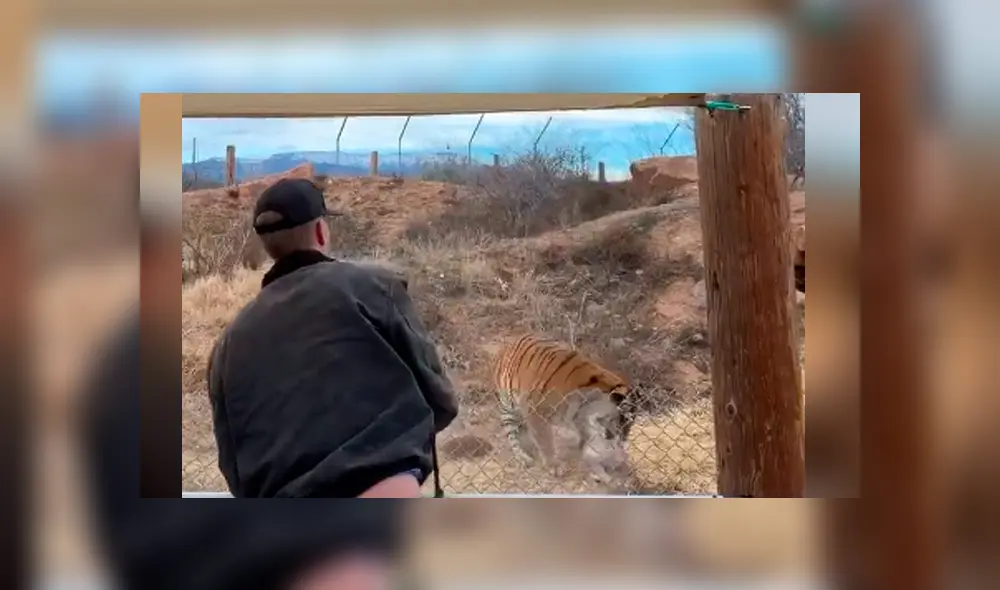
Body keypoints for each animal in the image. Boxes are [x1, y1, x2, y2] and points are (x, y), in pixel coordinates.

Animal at [492, 334, 641, 479]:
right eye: (621, 419)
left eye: (630, 422)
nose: (622, 442)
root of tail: (511, 342)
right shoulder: (535, 411)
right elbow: (545, 441)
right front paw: (554, 466)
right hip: (507, 405)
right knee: (511, 434)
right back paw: (522, 456)